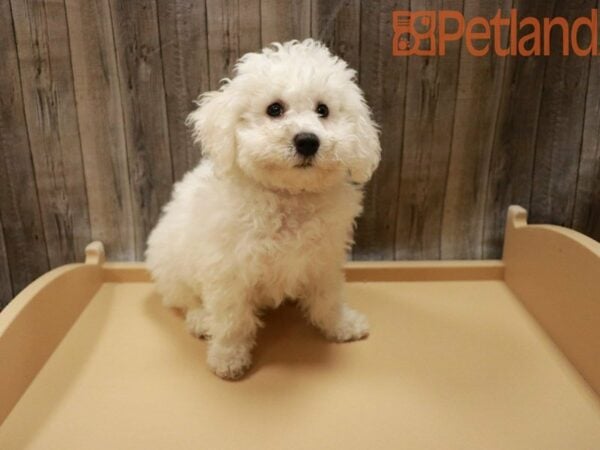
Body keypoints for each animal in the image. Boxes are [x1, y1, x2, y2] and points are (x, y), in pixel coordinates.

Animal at [145, 38, 380, 378]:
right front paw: (228, 358)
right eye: (274, 109)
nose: (307, 141)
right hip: (173, 266)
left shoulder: (323, 260)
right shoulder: (228, 272)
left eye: (323, 110)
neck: (289, 196)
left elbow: (329, 297)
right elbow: (232, 321)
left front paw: (341, 325)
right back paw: (201, 320)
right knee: (186, 299)